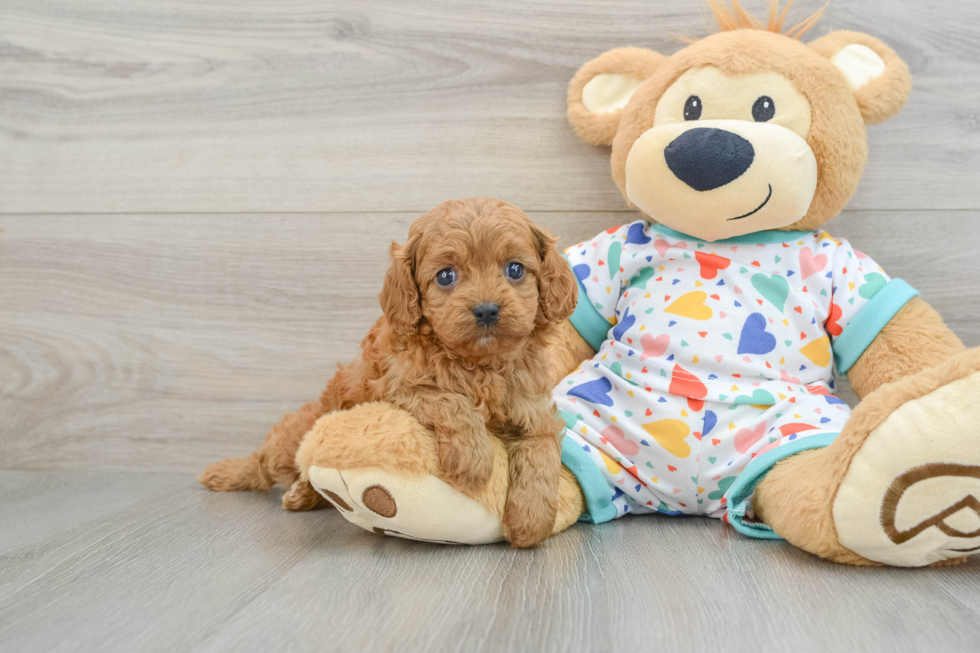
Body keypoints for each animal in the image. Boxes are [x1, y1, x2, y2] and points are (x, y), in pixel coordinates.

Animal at [202, 196, 580, 548]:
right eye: (446, 276)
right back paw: (231, 474)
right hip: (294, 437)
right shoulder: (397, 388)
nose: (486, 310)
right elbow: (451, 401)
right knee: (264, 464)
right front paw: (474, 461)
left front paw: (531, 521)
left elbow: (542, 452)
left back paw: (303, 495)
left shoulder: (533, 409)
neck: (479, 363)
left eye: (515, 270)